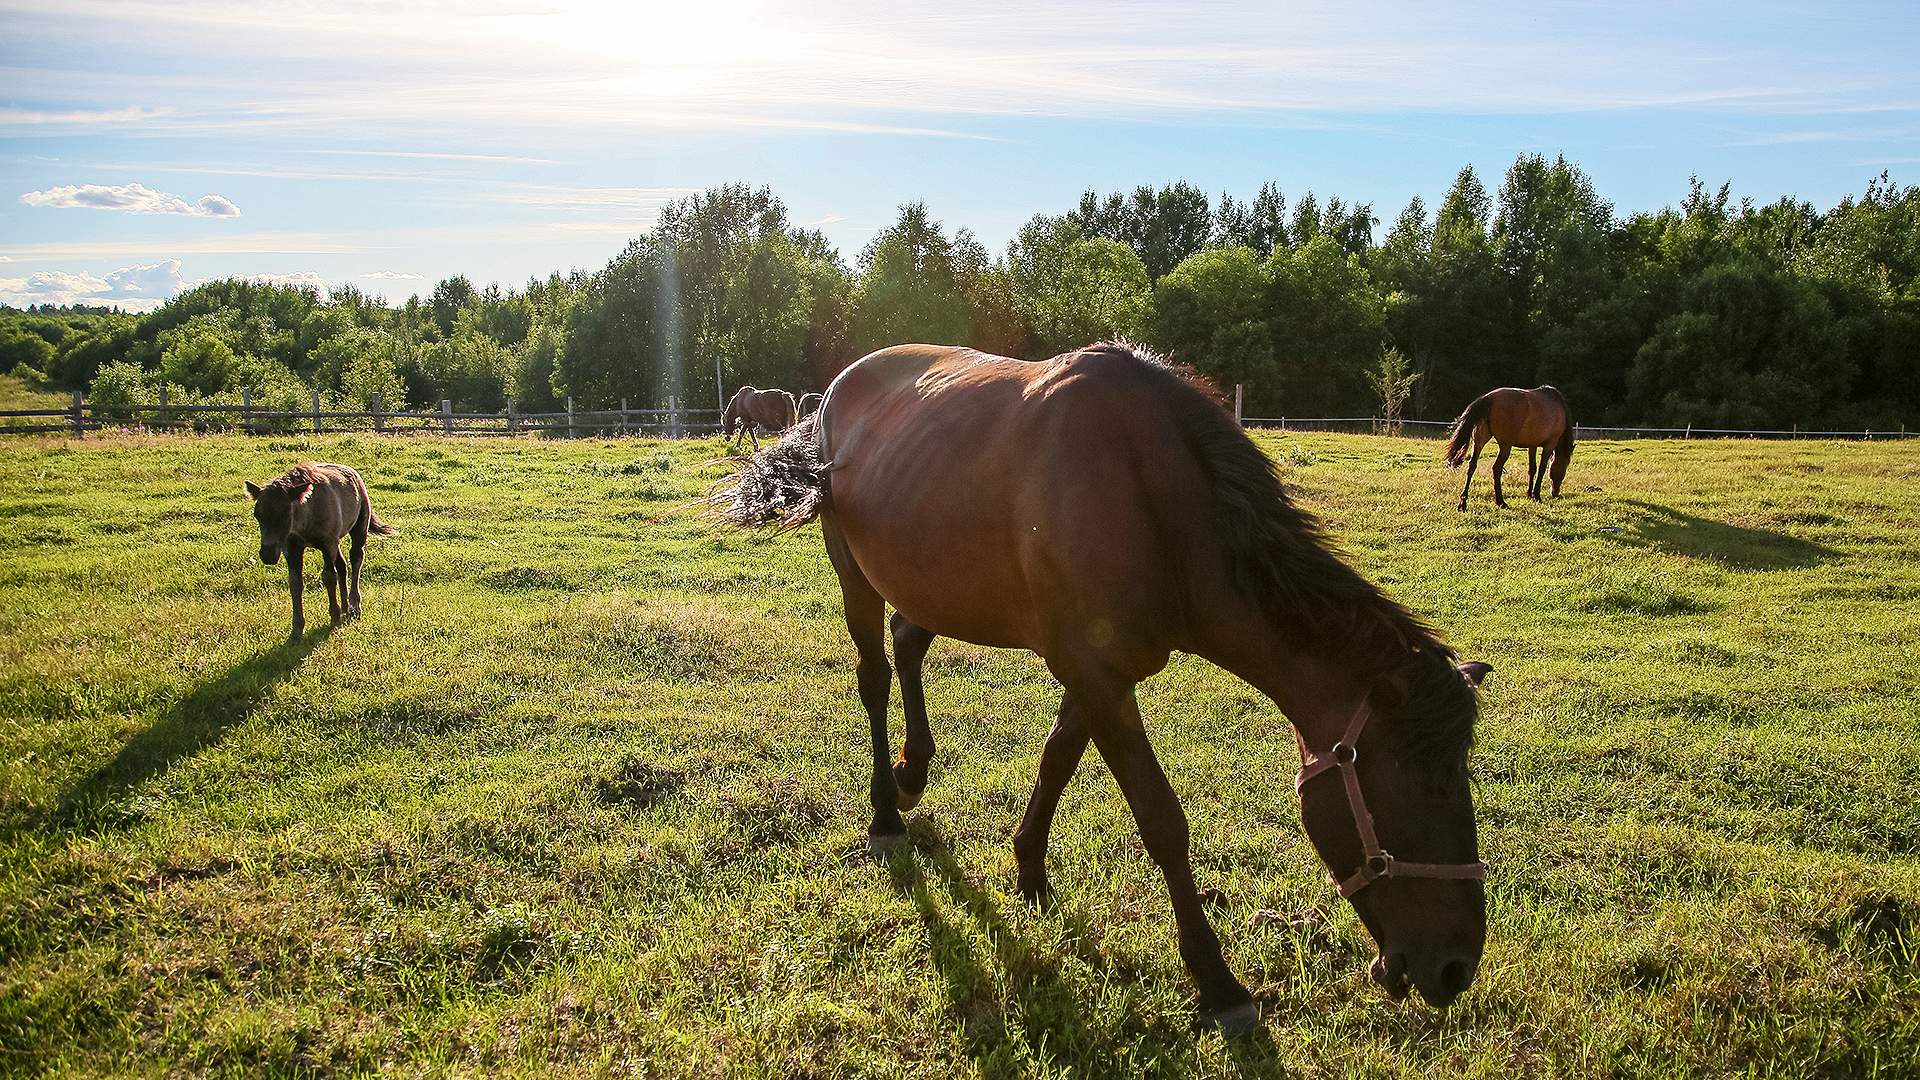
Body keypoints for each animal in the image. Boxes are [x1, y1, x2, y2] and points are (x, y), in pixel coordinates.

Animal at [247, 461, 397, 638]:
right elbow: (295, 583)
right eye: (257, 515)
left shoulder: (327, 543)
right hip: (337, 542)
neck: (306, 516)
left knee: (356, 558)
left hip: (359, 527)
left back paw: (354, 607)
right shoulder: (292, 548)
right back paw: (346, 607)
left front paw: (334, 616)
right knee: (342, 565)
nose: (267, 555)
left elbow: (329, 577)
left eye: (285, 514)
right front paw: (297, 629)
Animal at [721, 343, 1482, 1022]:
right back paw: (885, 806)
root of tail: (834, 391)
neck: (1152, 501)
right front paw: (1215, 979)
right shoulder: (1095, 674)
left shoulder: (1099, 672)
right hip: (853, 570)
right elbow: (1161, 820)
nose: (1456, 967)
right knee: (875, 676)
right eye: (1427, 787)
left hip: (935, 580)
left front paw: (1029, 869)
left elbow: (1057, 758)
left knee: (909, 645)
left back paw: (914, 773)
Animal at [1443, 382, 1574, 507]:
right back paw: (1501, 502)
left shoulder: (1532, 445)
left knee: (1472, 466)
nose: (1555, 493)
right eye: (1564, 468)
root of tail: (1489, 398)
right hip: (1505, 446)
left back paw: (1463, 502)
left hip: (1479, 442)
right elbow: (1541, 469)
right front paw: (1536, 495)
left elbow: (1532, 469)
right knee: (1496, 468)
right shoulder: (1549, 445)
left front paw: (1529, 494)